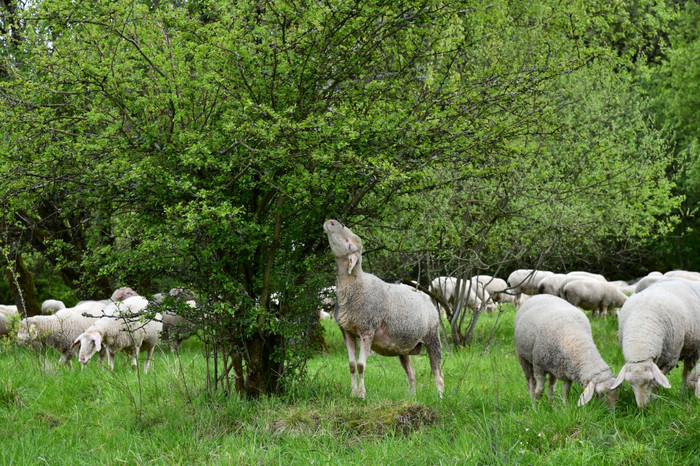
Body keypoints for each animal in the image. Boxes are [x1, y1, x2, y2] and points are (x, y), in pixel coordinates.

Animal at [324, 220, 442, 398]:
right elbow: (351, 365)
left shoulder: (367, 331)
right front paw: (352, 393)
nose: (331, 222)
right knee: (411, 374)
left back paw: (440, 397)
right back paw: (412, 397)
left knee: (438, 372)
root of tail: (426, 298)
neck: (356, 285)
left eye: (348, 244)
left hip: (432, 336)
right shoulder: (347, 332)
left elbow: (361, 365)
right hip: (404, 346)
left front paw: (362, 395)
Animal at [608, 278, 700, 406]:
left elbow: (657, 383)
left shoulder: (669, 361)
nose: (642, 408)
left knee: (685, 373)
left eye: (650, 379)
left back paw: (683, 394)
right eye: (630, 383)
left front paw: (655, 400)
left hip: (694, 350)